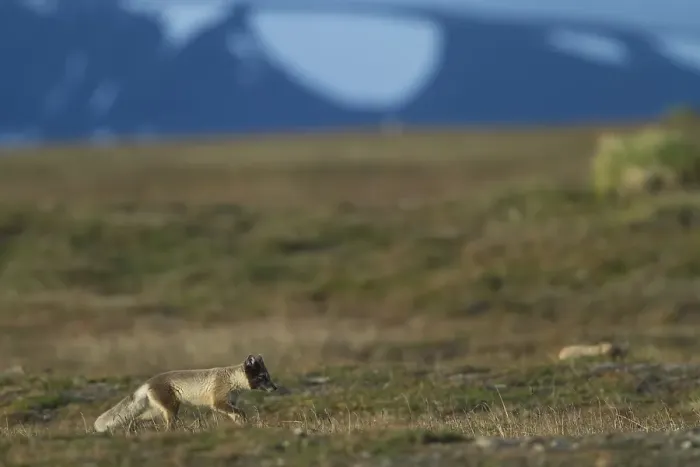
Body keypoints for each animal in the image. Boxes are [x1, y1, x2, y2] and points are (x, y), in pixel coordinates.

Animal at [93, 354, 278, 433]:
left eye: (268, 376)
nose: (275, 388)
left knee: (135, 419)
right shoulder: (218, 402)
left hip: (155, 411)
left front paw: (243, 425)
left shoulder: (228, 403)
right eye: (263, 377)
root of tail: (148, 382)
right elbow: (241, 412)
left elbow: (238, 415)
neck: (232, 379)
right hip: (171, 409)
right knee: (168, 424)